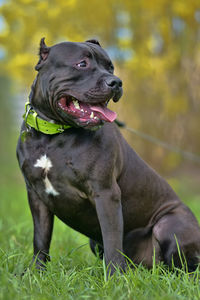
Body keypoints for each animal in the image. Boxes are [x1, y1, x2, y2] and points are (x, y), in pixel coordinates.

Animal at [16, 38, 200, 276]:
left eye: (110, 67)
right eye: (82, 64)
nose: (117, 82)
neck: (54, 135)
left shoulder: (105, 193)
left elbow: (112, 239)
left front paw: (113, 277)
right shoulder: (37, 196)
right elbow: (40, 239)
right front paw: (36, 273)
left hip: (169, 224)